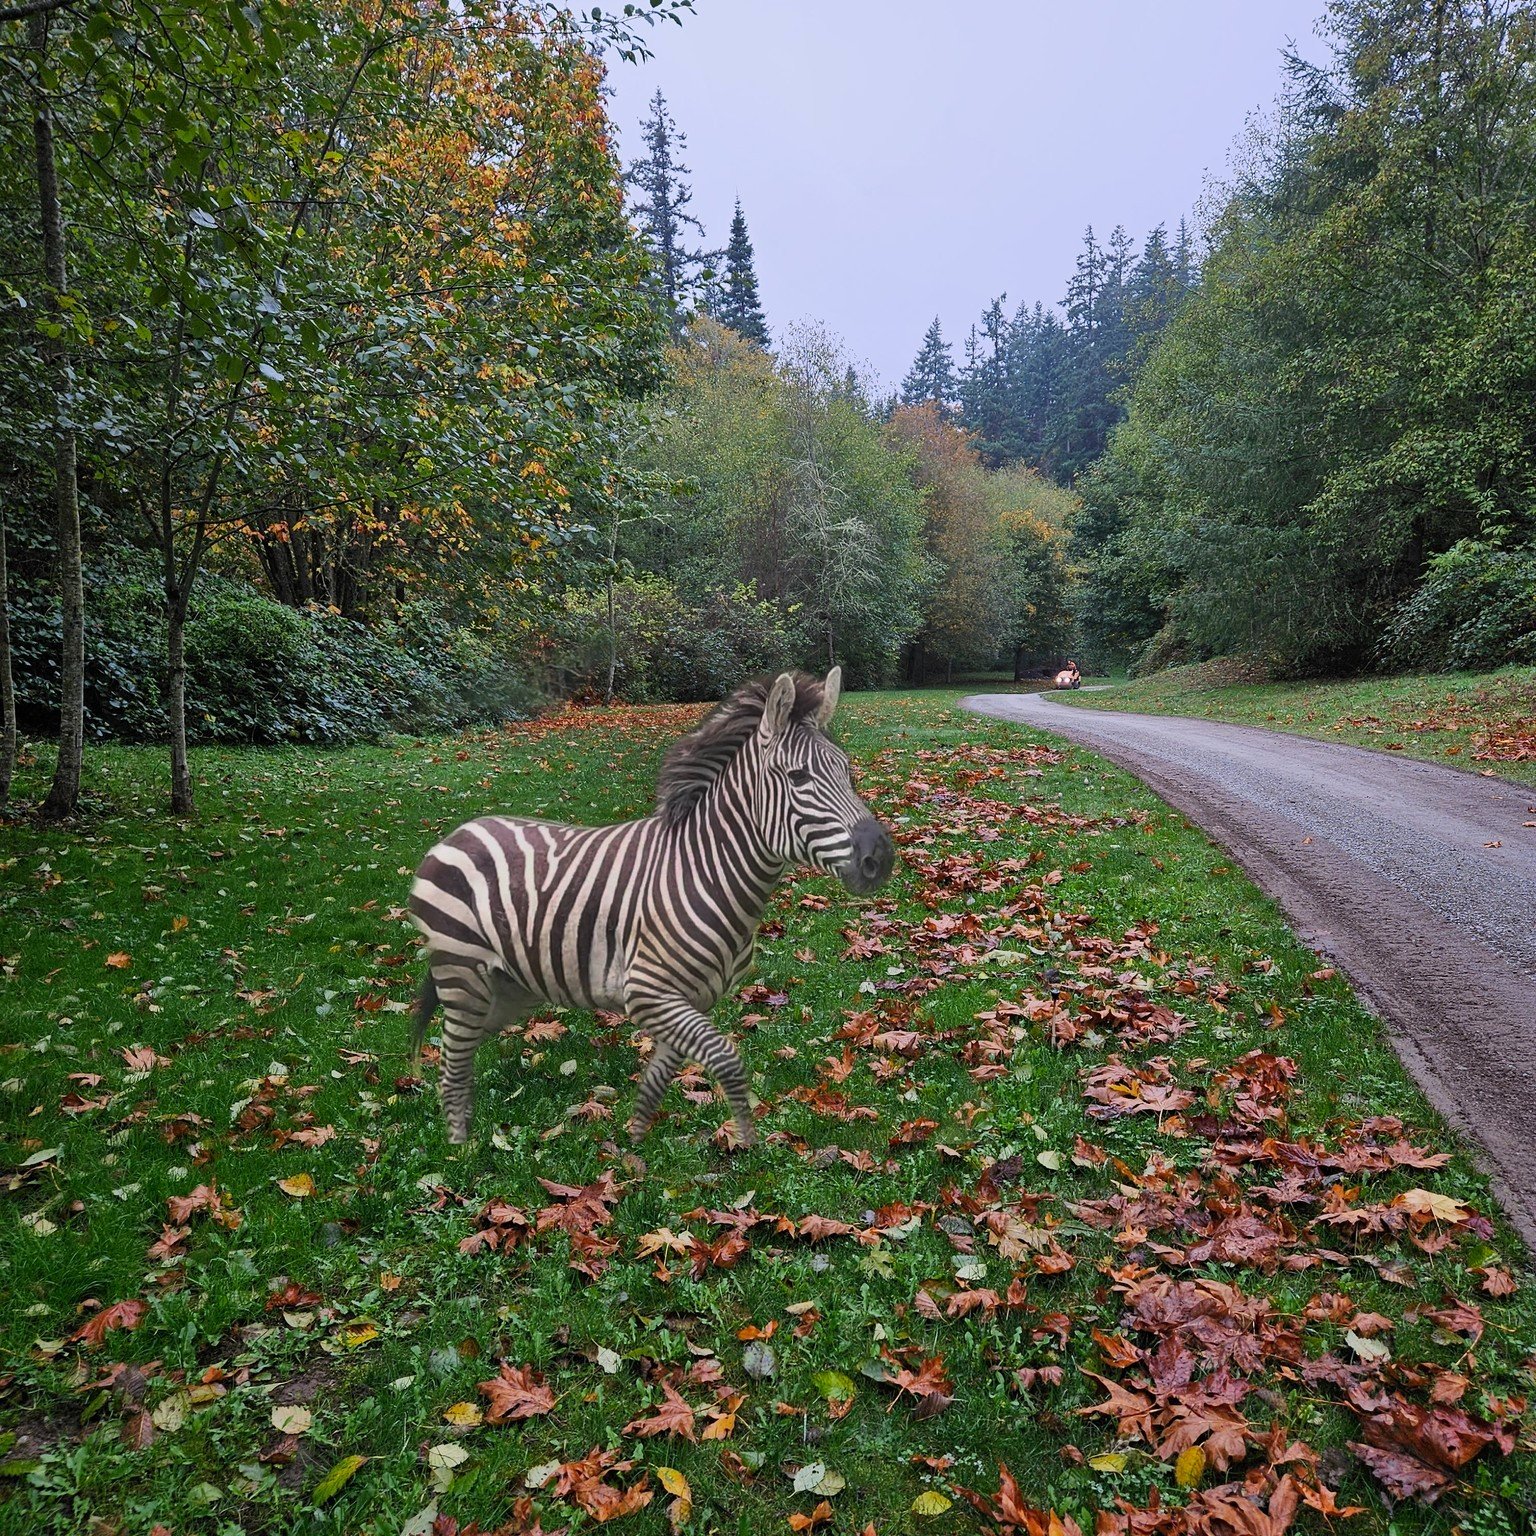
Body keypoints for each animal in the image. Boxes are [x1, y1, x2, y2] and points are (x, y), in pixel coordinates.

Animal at [408, 666, 897, 1148]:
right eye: (797, 778)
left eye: (847, 771)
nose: (881, 857)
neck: (706, 871)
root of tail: (459, 832)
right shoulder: (646, 991)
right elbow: (726, 1057)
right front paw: (745, 1141)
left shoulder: (693, 1000)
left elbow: (660, 1076)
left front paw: (635, 1145)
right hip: (462, 974)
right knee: (452, 1059)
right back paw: (462, 1153)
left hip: (506, 986)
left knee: (462, 1050)